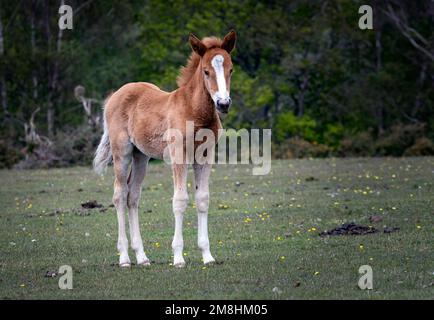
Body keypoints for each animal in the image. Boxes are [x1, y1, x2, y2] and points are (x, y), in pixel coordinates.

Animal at [93, 30, 237, 268]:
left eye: (231, 69)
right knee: (119, 194)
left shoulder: (205, 155)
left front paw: (207, 256)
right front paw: (178, 257)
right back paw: (124, 257)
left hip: (140, 156)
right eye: (206, 71)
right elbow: (179, 200)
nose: (223, 104)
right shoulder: (179, 155)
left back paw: (142, 256)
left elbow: (203, 198)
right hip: (122, 152)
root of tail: (114, 96)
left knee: (133, 195)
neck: (194, 110)